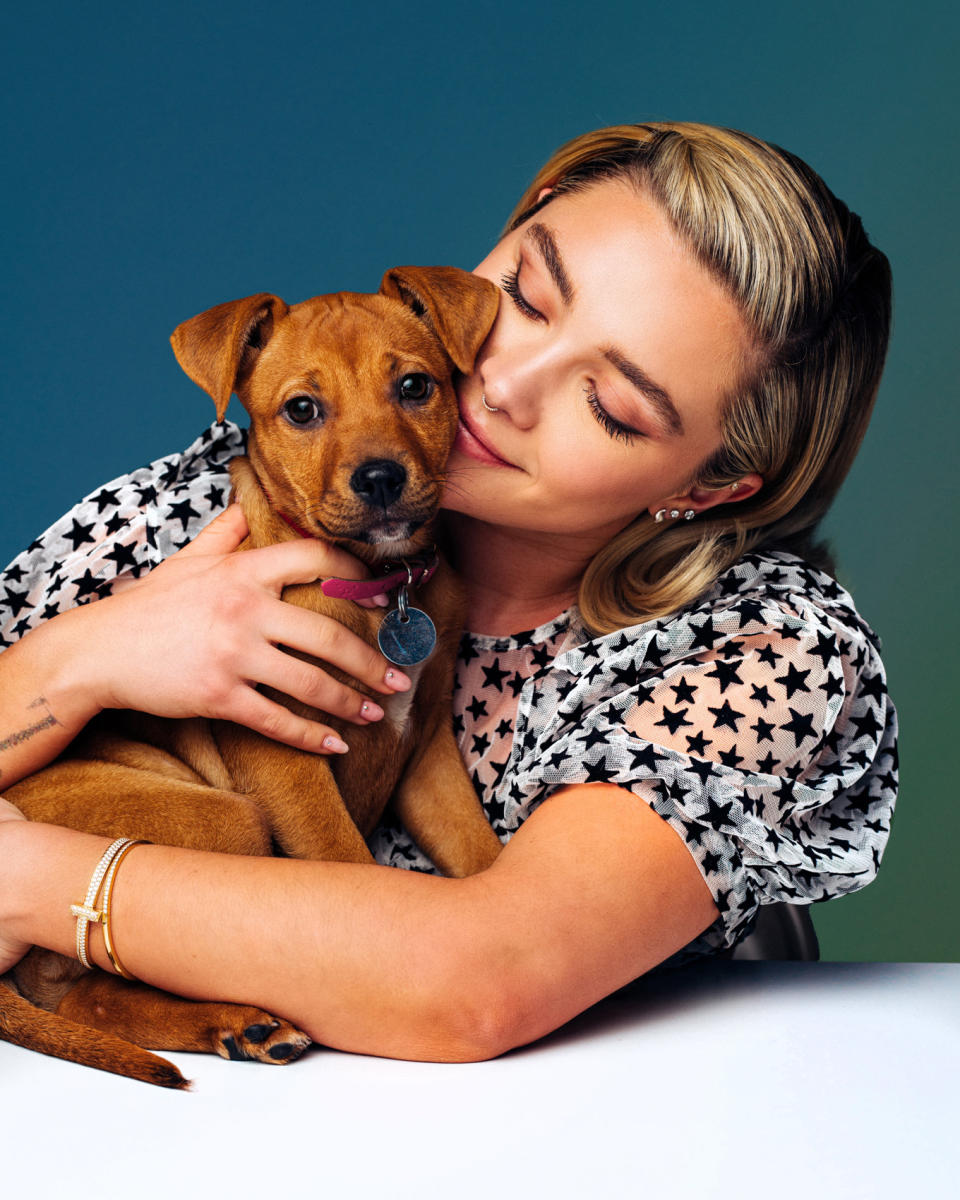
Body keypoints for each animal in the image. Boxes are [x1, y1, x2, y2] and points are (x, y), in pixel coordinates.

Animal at [0, 262, 506, 1089]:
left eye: (415, 387)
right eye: (302, 409)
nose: (380, 479)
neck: (378, 586)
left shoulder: (426, 754)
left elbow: (480, 854)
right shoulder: (288, 763)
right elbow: (350, 871)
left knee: (85, 995)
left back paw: (237, 1026)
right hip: (228, 818)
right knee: (85, 984)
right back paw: (236, 1022)